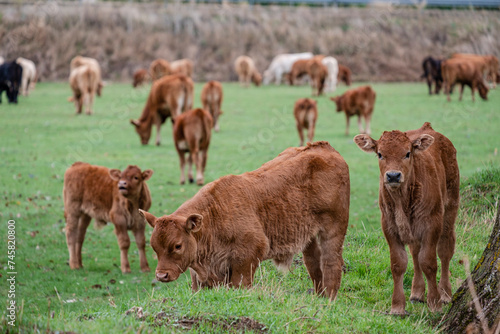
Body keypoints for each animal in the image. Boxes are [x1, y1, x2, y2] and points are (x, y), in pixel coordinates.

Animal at [141, 140, 350, 300]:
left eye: (177, 245)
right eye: (154, 246)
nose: (161, 275)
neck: (213, 215)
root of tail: (325, 147)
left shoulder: (248, 257)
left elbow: (240, 284)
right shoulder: (200, 275)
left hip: (333, 230)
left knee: (331, 262)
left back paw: (329, 299)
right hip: (310, 237)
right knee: (314, 264)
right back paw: (320, 298)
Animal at [354, 121, 458, 314]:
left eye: (407, 153)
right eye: (380, 154)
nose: (393, 175)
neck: (401, 201)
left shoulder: (432, 224)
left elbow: (429, 262)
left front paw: (435, 303)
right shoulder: (389, 226)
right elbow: (399, 264)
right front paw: (397, 307)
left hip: (450, 209)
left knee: (445, 250)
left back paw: (446, 294)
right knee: (415, 252)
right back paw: (417, 293)